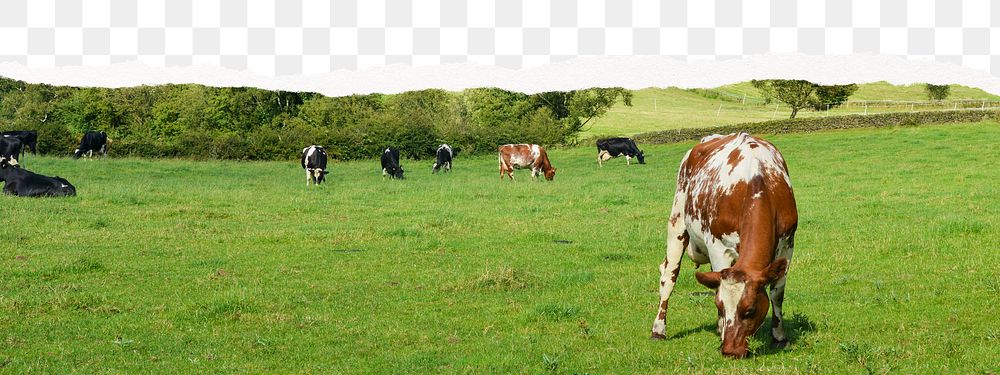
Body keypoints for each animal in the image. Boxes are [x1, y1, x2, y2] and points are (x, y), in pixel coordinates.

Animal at [652, 132, 800, 358]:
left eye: (750, 310)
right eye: (720, 306)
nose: (730, 350)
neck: (757, 181)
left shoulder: (788, 245)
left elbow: (777, 294)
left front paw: (779, 337)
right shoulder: (717, 247)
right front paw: (722, 328)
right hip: (677, 221)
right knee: (668, 276)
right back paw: (659, 329)